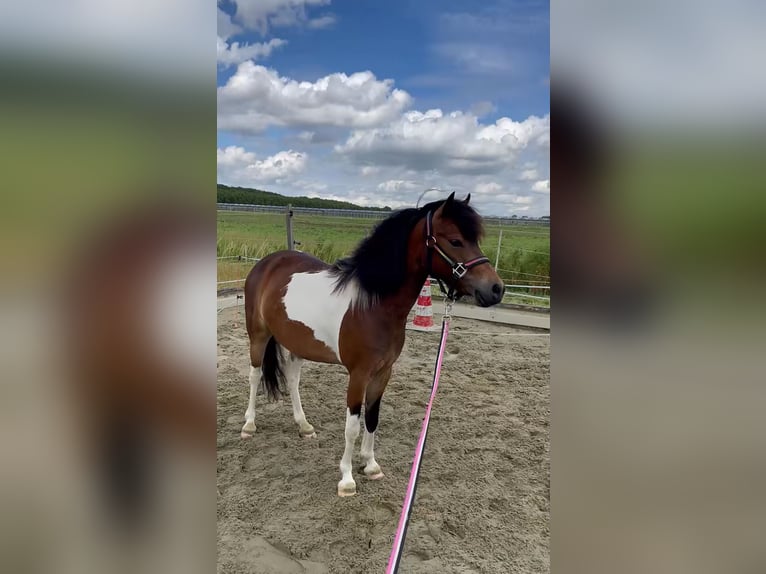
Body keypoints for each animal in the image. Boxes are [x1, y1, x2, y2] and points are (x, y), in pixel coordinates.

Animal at [240, 191, 504, 498]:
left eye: (475, 240)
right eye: (455, 240)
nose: (496, 289)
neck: (373, 305)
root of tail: (266, 263)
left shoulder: (383, 372)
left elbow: (372, 418)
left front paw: (371, 465)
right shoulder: (358, 374)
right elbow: (352, 426)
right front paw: (347, 478)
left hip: (297, 342)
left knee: (293, 379)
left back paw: (304, 426)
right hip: (258, 336)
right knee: (255, 375)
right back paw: (249, 424)